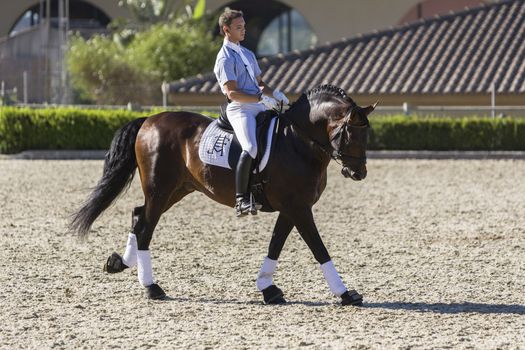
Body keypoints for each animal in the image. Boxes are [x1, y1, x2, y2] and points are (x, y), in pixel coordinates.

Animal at [71, 83, 374, 304]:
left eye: (367, 135)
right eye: (350, 134)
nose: (358, 173)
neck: (297, 142)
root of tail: (149, 121)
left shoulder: (291, 209)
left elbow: (275, 245)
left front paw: (268, 288)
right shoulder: (298, 208)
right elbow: (319, 249)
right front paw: (346, 293)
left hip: (177, 189)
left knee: (138, 215)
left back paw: (119, 263)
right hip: (160, 190)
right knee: (146, 226)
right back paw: (151, 287)